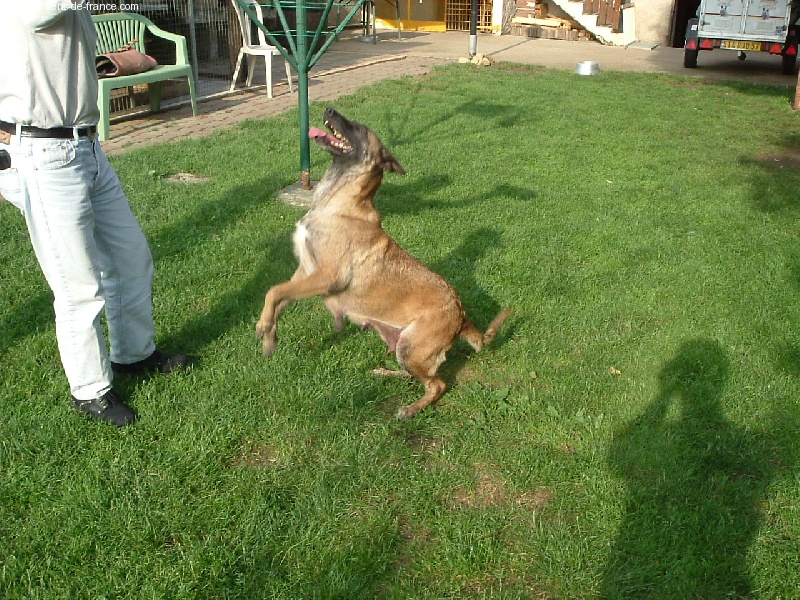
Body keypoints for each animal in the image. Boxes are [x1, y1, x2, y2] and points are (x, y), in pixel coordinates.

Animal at [256, 106, 512, 418]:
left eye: (359, 127)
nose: (329, 109)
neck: (336, 202)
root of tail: (462, 316)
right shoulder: (304, 271)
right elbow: (278, 298)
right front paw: (269, 336)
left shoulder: (326, 277)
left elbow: (273, 291)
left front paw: (263, 328)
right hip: (403, 346)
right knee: (420, 376)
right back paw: (386, 373)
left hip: (411, 348)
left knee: (437, 384)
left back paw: (411, 409)